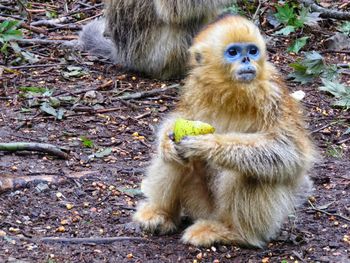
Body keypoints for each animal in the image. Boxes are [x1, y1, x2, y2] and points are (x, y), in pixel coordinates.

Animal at [133, 14, 316, 249]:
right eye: (233, 52)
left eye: (252, 51)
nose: (246, 60)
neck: (233, 90)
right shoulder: (194, 88)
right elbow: (178, 119)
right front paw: (166, 141)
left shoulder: (273, 94)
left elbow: (289, 152)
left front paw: (207, 145)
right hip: (198, 203)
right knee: (175, 160)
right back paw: (162, 213)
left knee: (252, 170)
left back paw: (232, 232)